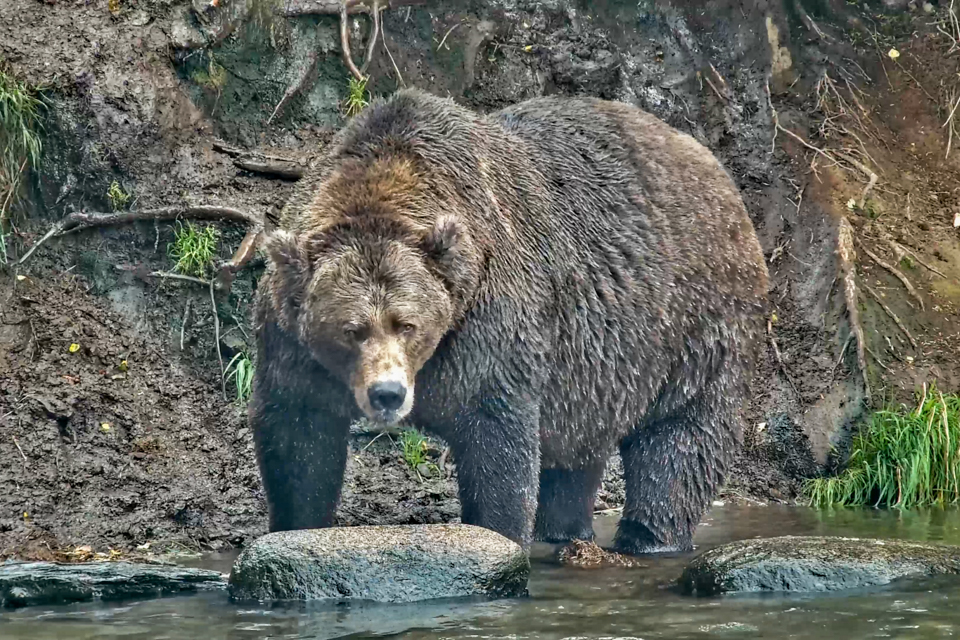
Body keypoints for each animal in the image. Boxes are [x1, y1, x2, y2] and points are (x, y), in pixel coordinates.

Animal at [249, 88, 769, 554]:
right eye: (352, 330)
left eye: (406, 324)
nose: (388, 394)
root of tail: (712, 165)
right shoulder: (291, 339)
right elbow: (299, 438)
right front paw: (294, 526)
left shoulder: (489, 321)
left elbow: (497, 441)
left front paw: (496, 535)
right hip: (596, 366)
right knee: (576, 449)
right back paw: (563, 530)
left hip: (693, 319)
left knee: (680, 433)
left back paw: (649, 536)